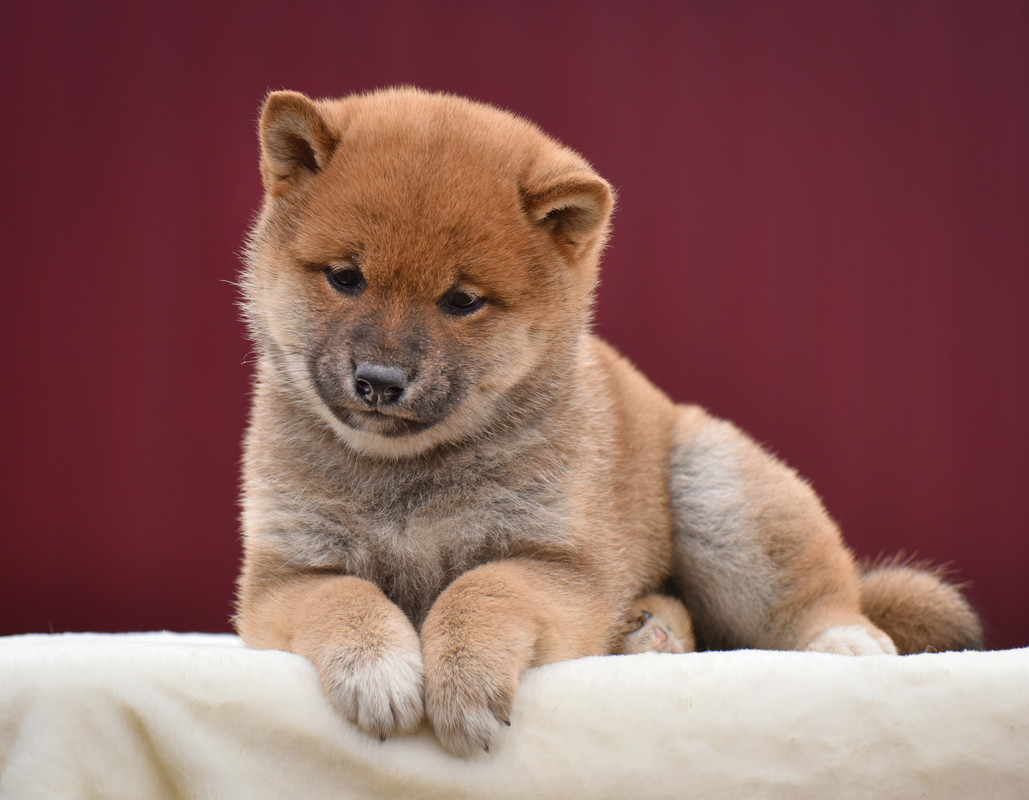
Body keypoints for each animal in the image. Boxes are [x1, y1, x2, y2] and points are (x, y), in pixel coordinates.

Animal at [236, 87, 983, 753]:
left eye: (461, 301)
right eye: (346, 278)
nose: (381, 381)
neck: (407, 477)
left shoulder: (557, 562)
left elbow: (480, 590)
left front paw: (465, 682)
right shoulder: (285, 574)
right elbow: (348, 599)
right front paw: (379, 672)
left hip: (723, 499)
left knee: (809, 597)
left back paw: (834, 636)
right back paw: (648, 632)